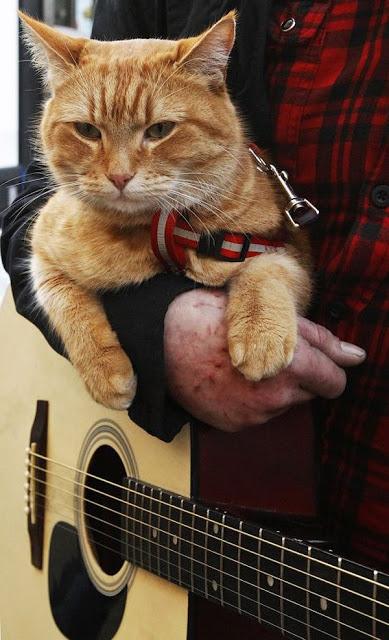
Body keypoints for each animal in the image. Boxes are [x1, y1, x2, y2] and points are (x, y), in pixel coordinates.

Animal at [22, 13, 312, 410]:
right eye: (86, 130)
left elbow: (269, 268)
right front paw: (104, 369)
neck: (162, 231)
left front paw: (261, 332)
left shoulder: (287, 249)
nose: (119, 176)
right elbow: (65, 300)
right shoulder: (42, 250)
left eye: (160, 130)